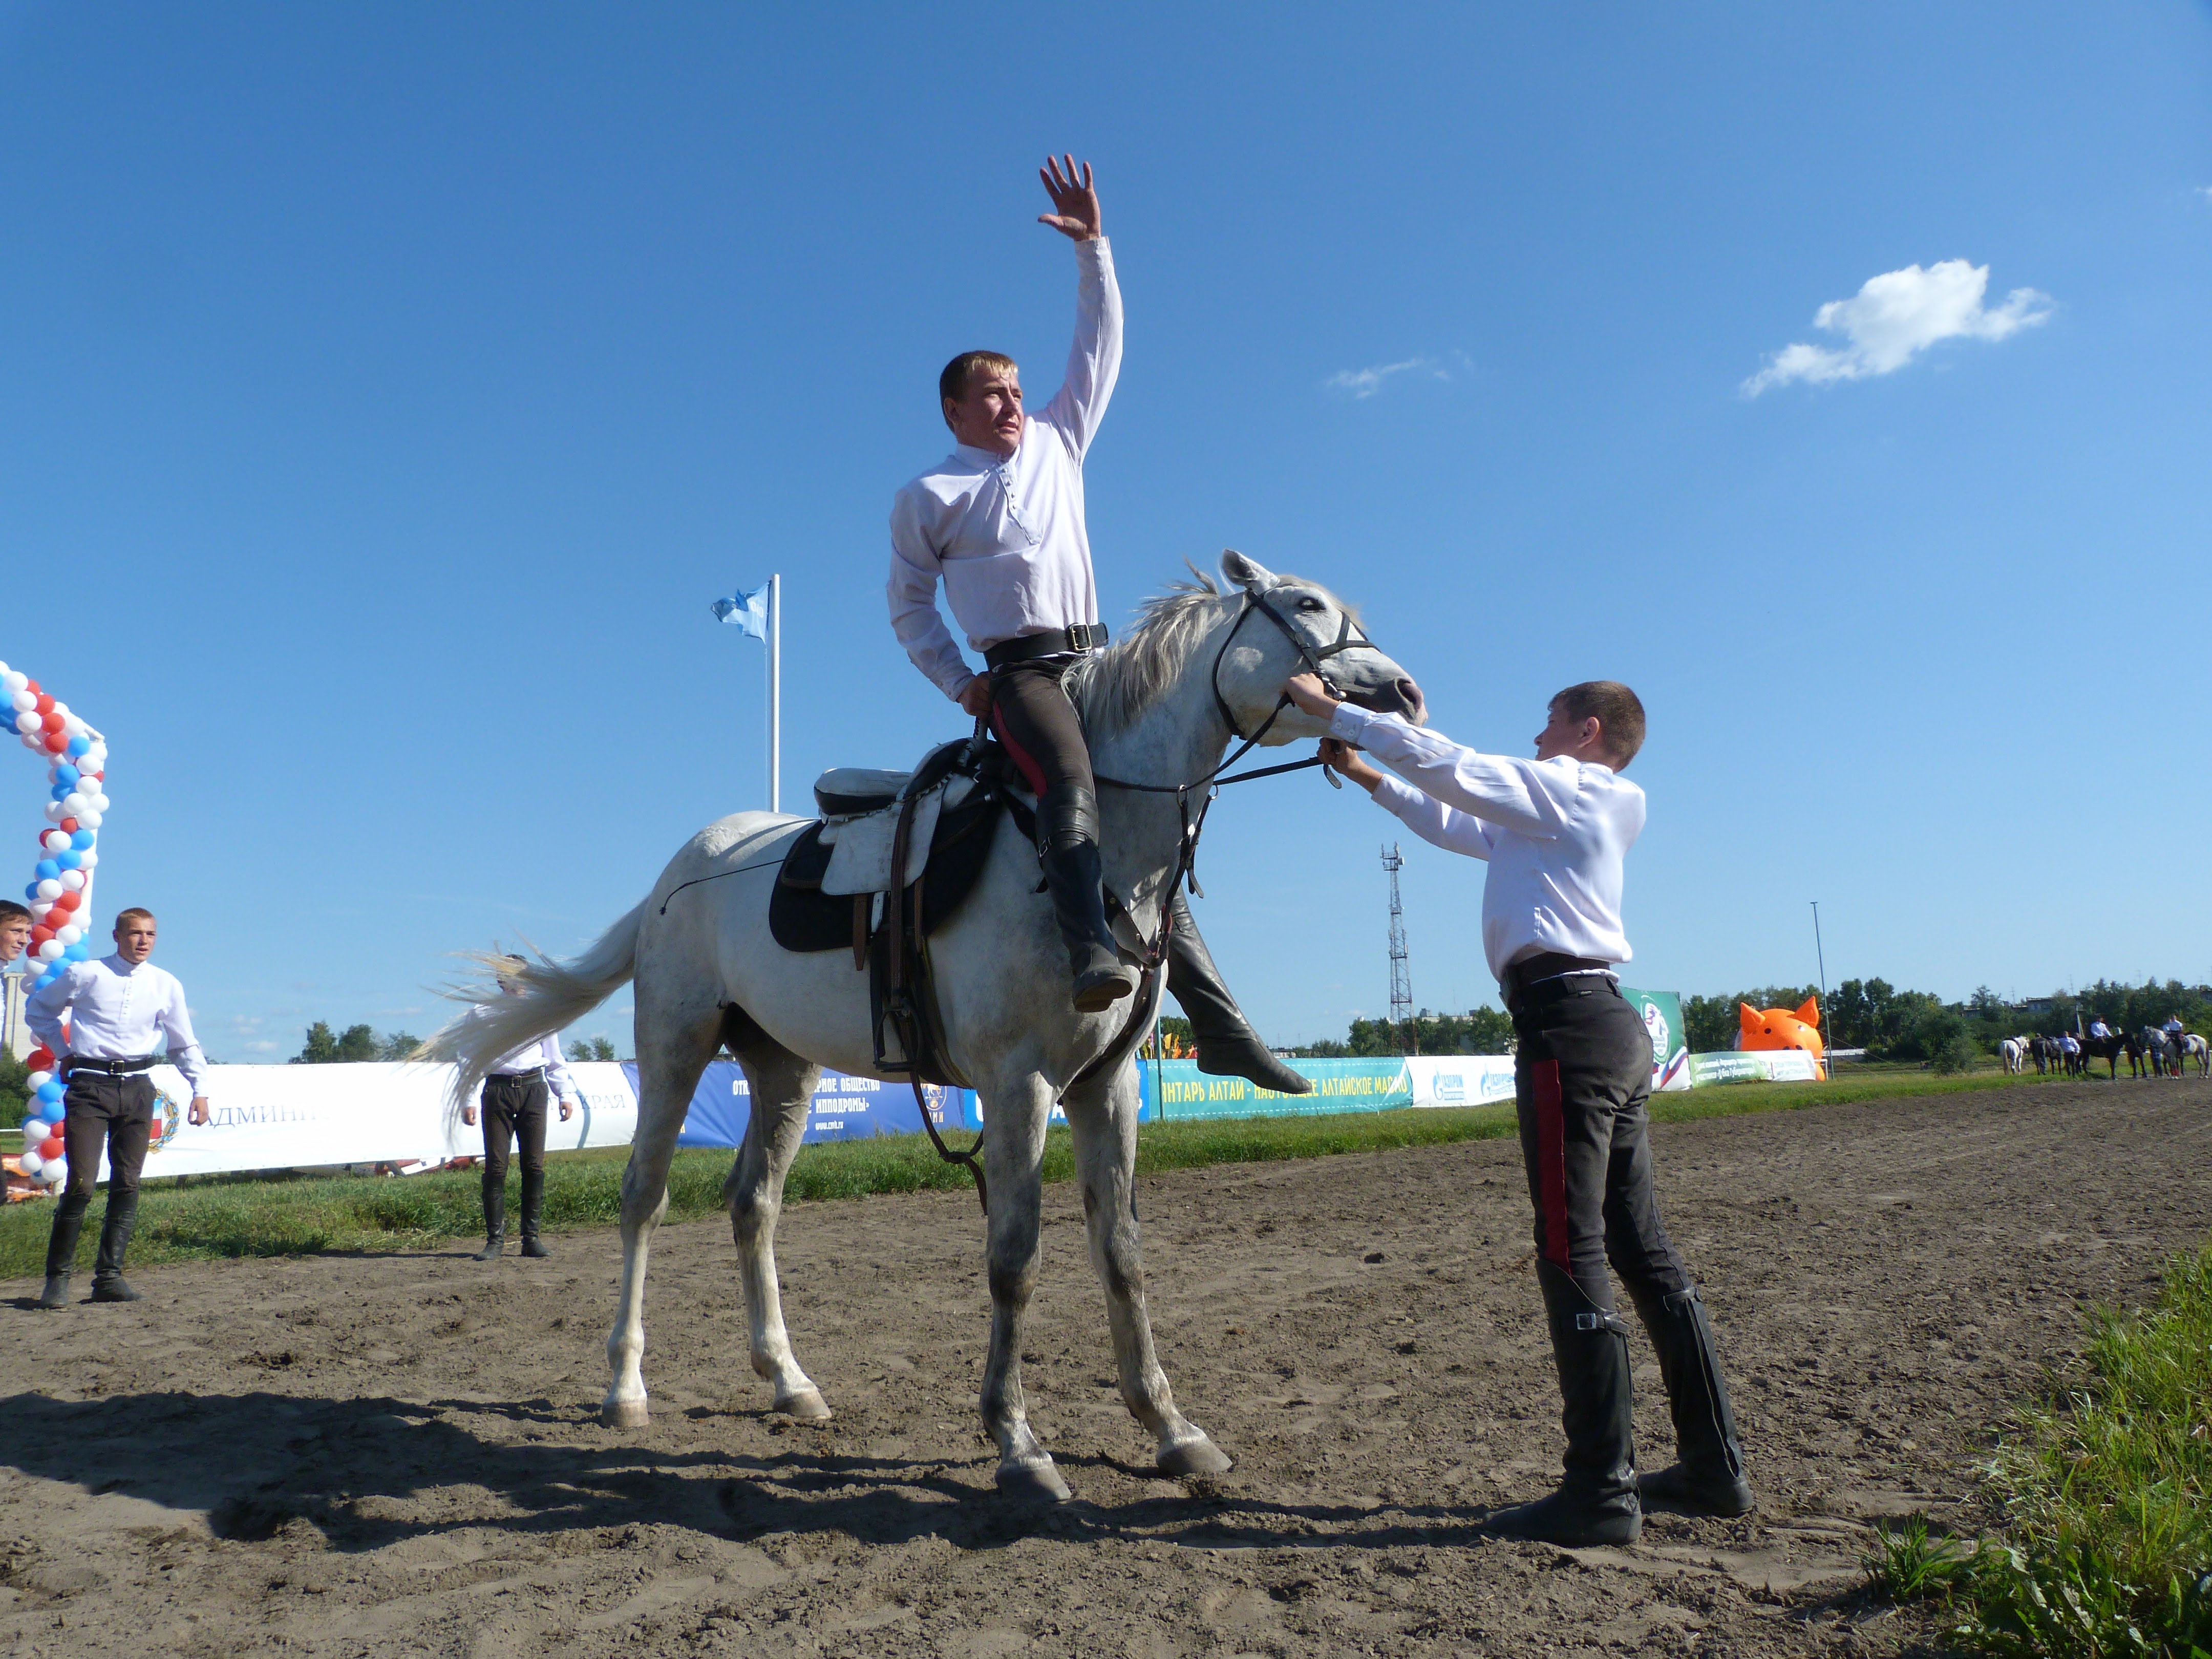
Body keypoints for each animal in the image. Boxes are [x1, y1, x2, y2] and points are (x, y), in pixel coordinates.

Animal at [422, 552, 1425, 1502]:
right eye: (1305, 607)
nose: (1405, 695)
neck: (1084, 869)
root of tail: (676, 876)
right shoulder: (1018, 1085)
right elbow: (1014, 1260)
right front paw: (1018, 1444)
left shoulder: (1107, 1090)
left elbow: (1123, 1255)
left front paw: (1171, 1428)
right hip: (674, 1048)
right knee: (644, 1198)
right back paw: (625, 1388)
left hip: (784, 1070)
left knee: (753, 1203)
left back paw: (788, 1379)